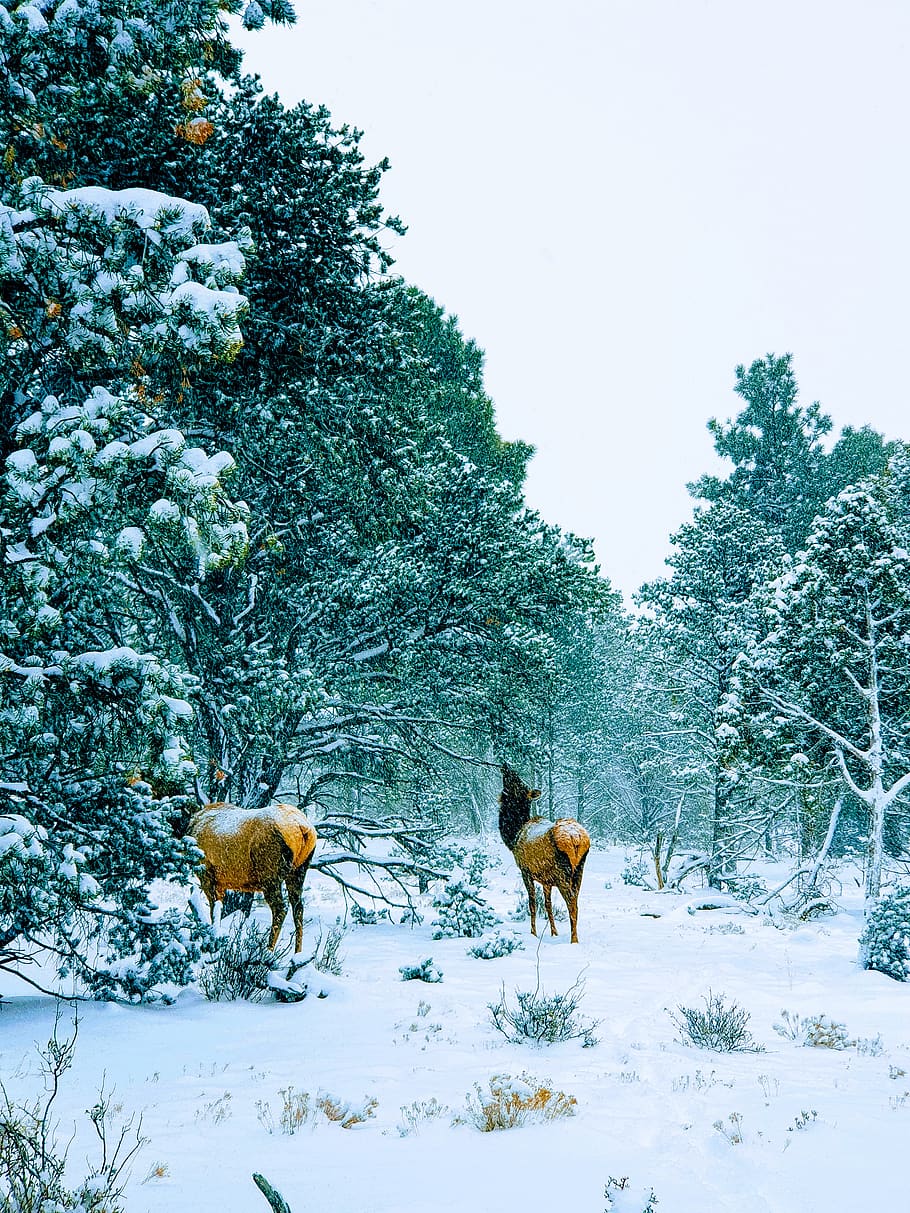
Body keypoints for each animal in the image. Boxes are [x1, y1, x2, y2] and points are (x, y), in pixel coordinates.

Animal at [188, 802, 317, 953]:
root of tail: (302, 827)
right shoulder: (220, 883)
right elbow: (219, 910)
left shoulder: (207, 874)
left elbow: (213, 911)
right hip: (298, 872)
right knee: (298, 908)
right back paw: (297, 952)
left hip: (269, 874)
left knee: (280, 908)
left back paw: (267, 950)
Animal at [498, 764, 590, 943]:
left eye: (516, 783)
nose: (506, 765)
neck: (513, 837)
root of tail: (576, 838)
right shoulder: (546, 880)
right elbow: (548, 905)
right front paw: (554, 932)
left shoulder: (525, 870)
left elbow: (532, 903)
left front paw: (533, 933)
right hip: (579, 871)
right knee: (576, 902)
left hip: (563, 874)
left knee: (571, 904)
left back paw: (574, 940)